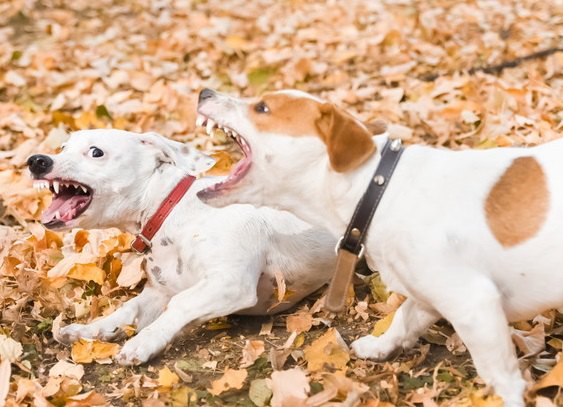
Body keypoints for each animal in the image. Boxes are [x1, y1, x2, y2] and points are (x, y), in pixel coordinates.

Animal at [26, 129, 338, 364]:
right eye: (63, 147)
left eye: (96, 152)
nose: (36, 161)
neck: (170, 211)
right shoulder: (159, 292)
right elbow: (127, 310)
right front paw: (90, 330)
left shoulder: (230, 283)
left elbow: (181, 304)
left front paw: (144, 342)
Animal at [195, 88, 563, 404]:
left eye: (262, 108)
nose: (204, 92)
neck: (378, 189)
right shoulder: (427, 294)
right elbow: (405, 318)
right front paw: (380, 346)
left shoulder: (473, 303)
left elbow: (499, 373)